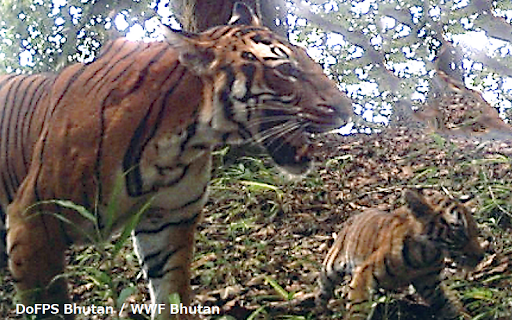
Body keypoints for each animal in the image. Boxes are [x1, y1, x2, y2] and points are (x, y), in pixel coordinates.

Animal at [1, 3, 352, 320]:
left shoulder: (168, 221)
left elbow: (171, 295)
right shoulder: (32, 222)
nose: (347, 111)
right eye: (285, 70)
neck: (183, 141)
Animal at [316, 190, 484, 320]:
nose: (481, 256)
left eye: (476, 230)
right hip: (330, 267)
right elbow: (358, 309)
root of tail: (352, 217)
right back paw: (320, 311)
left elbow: (448, 303)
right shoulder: (365, 273)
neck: (426, 257)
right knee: (323, 291)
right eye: (459, 230)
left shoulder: (430, 284)